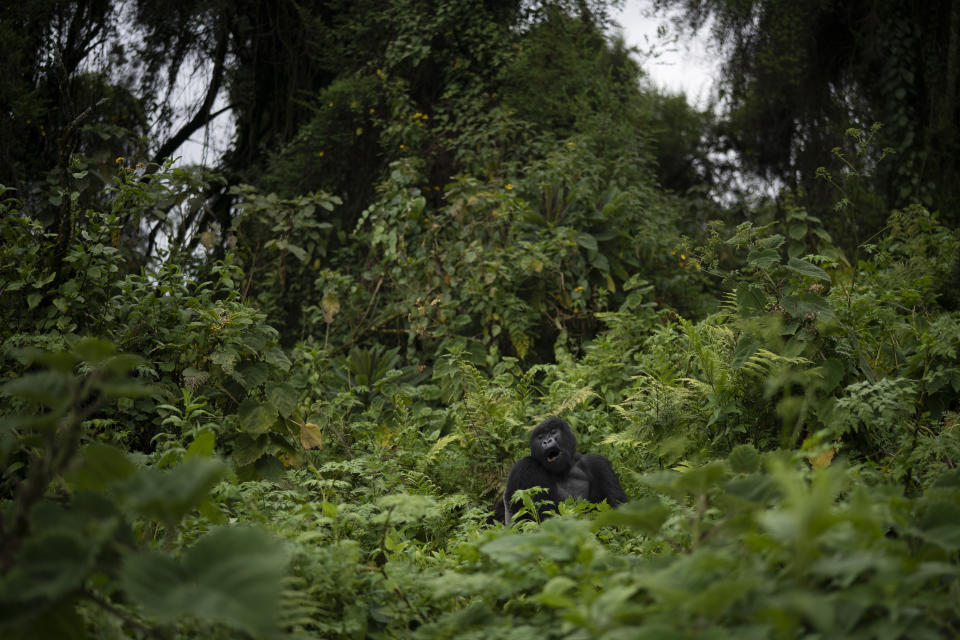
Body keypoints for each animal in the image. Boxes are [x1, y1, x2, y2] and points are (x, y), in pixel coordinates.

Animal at [502, 416, 632, 524]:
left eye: (553, 431)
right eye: (540, 437)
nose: (547, 441)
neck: (562, 470)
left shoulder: (597, 462)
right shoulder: (525, 467)